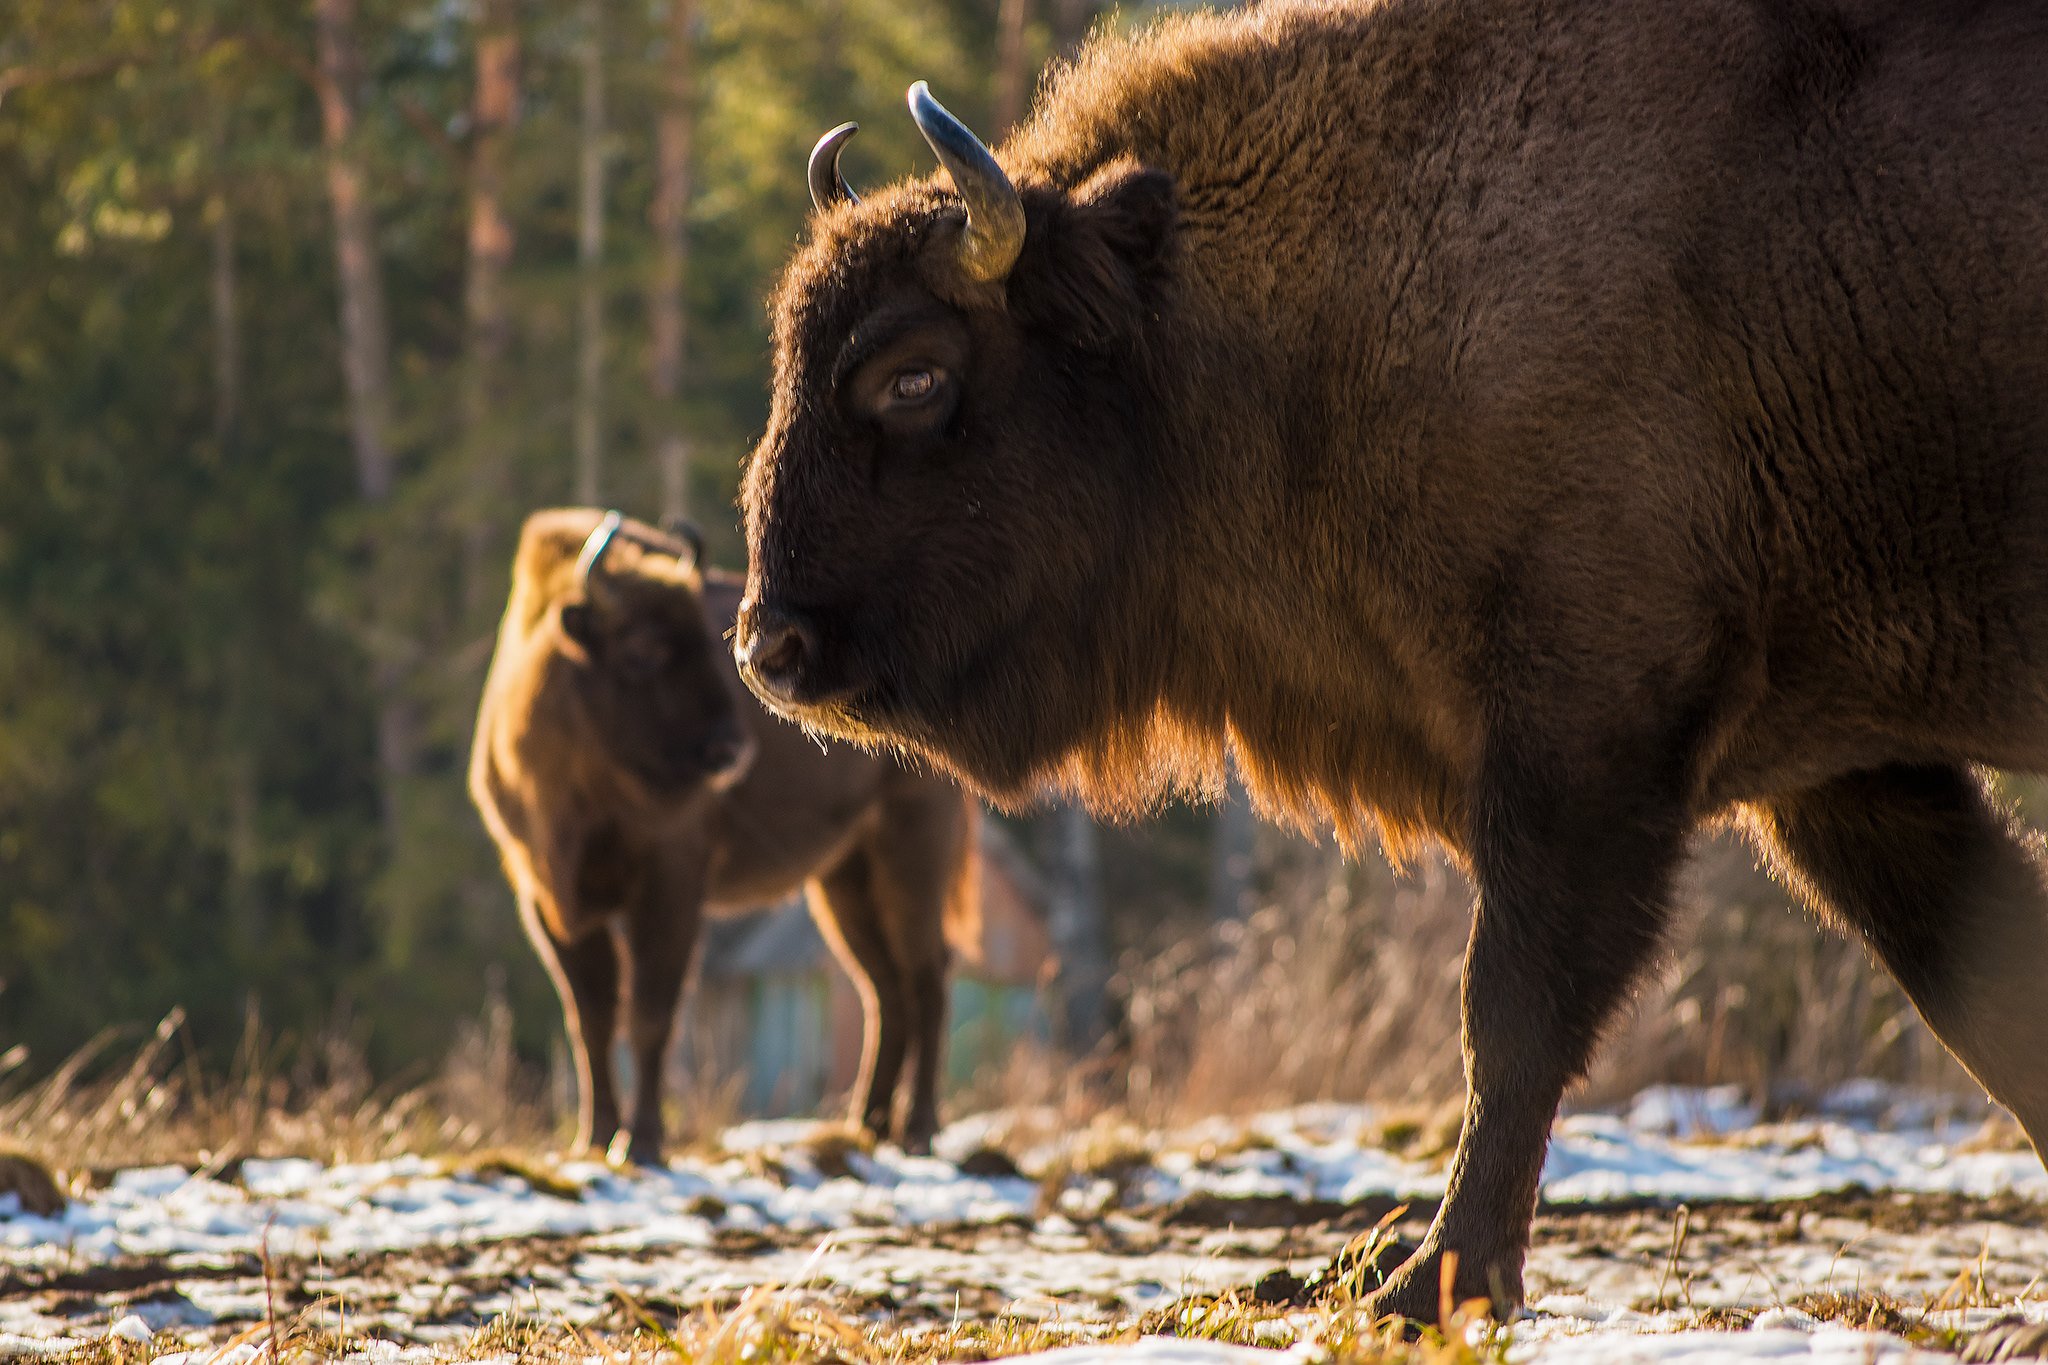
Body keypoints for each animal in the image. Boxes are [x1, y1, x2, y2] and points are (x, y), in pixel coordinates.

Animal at [468, 511, 974, 1162]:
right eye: (643, 649)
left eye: (711, 643)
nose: (732, 749)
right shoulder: (545, 897)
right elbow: (591, 1019)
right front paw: (594, 1137)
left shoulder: (670, 883)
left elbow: (650, 1013)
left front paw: (642, 1143)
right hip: (842, 878)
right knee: (884, 987)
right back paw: (868, 1124)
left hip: (911, 849)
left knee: (927, 973)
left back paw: (918, 1130)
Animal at [733, 0, 2048, 1326]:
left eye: (911, 375)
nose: (767, 646)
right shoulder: (1837, 773)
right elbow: (1985, 990)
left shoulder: (1582, 739)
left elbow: (1510, 1012)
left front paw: (1427, 1283)